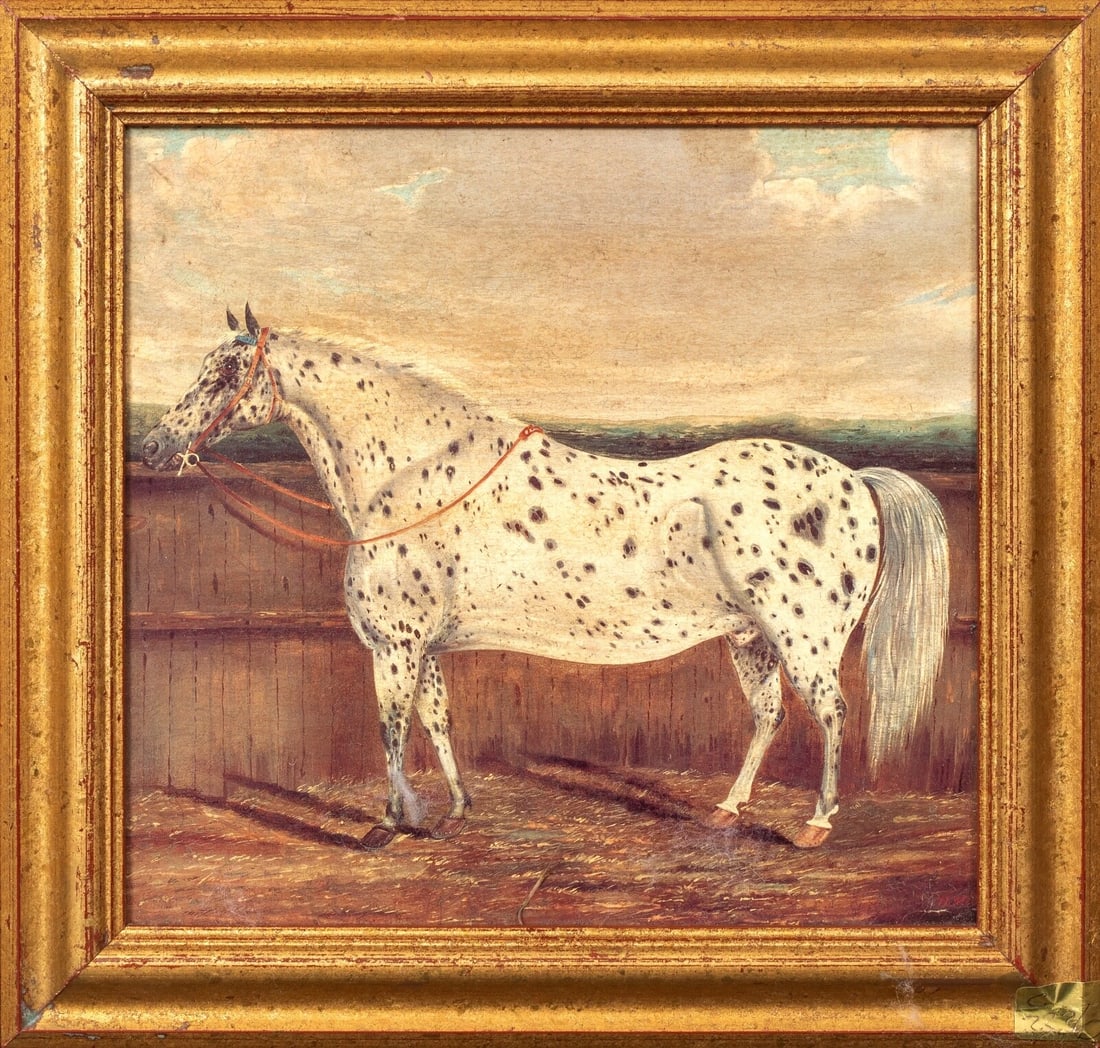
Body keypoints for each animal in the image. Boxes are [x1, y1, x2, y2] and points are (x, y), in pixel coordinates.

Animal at [141, 305, 950, 850]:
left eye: (224, 373)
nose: (154, 446)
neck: (412, 476)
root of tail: (856, 480)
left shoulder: (397, 646)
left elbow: (392, 729)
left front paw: (389, 823)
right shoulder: (424, 648)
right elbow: (437, 720)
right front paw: (455, 810)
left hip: (804, 638)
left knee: (832, 714)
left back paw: (816, 824)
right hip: (748, 638)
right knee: (769, 716)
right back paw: (728, 810)